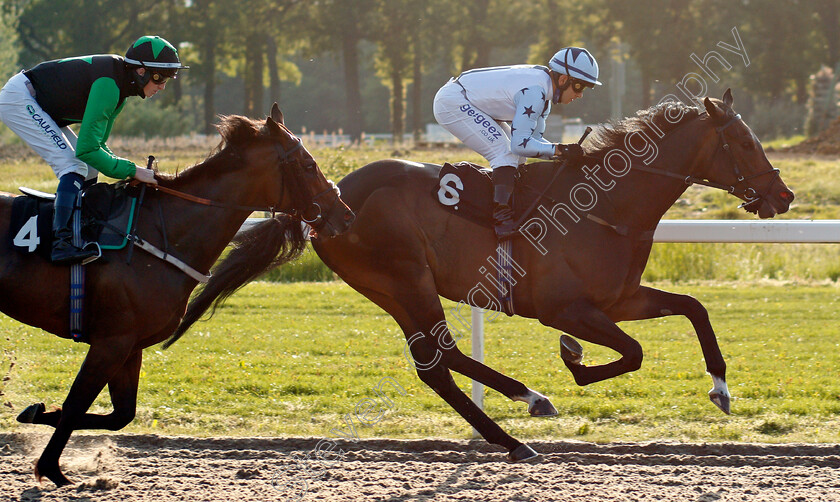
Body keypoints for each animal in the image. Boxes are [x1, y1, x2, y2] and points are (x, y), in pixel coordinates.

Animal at [0, 103, 354, 486]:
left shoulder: (129, 344)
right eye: (308, 165)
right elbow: (77, 402)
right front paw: (52, 468)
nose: (346, 216)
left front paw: (38, 412)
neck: (157, 231)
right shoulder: (110, 342)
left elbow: (119, 414)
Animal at [172, 91, 796, 462]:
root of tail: (332, 197)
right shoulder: (565, 307)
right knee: (441, 356)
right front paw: (572, 359)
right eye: (743, 141)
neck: (607, 206)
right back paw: (529, 403)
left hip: (390, 288)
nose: (783, 195)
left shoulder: (618, 298)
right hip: (404, 277)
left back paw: (511, 433)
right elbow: (634, 352)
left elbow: (694, 306)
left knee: (435, 365)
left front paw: (721, 388)